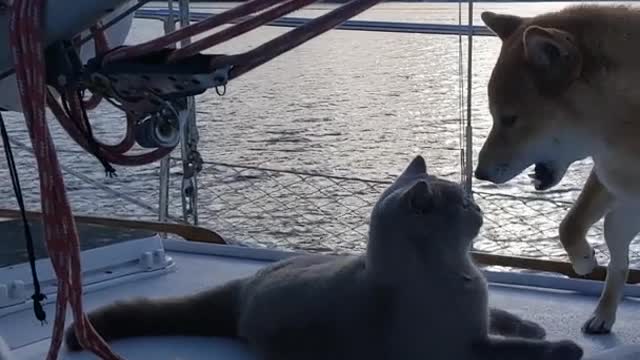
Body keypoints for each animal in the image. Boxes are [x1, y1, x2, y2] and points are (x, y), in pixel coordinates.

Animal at [66, 155, 584, 360]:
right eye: (463, 205)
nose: (480, 209)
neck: (458, 273)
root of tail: (244, 290)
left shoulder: (481, 315)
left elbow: (507, 317)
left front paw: (535, 327)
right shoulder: (469, 347)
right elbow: (517, 349)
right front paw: (565, 347)